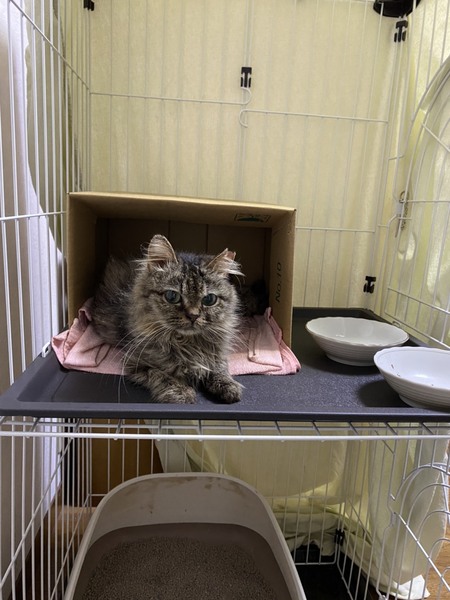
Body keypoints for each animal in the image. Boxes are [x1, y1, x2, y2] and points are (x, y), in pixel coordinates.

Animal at [91, 234, 244, 404]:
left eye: (209, 300)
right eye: (172, 296)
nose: (193, 316)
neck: (187, 342)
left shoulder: (218, 352)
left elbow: (219, 367)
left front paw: (229, 385)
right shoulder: (136, 363)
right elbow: (162, 376)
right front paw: (182, 392)